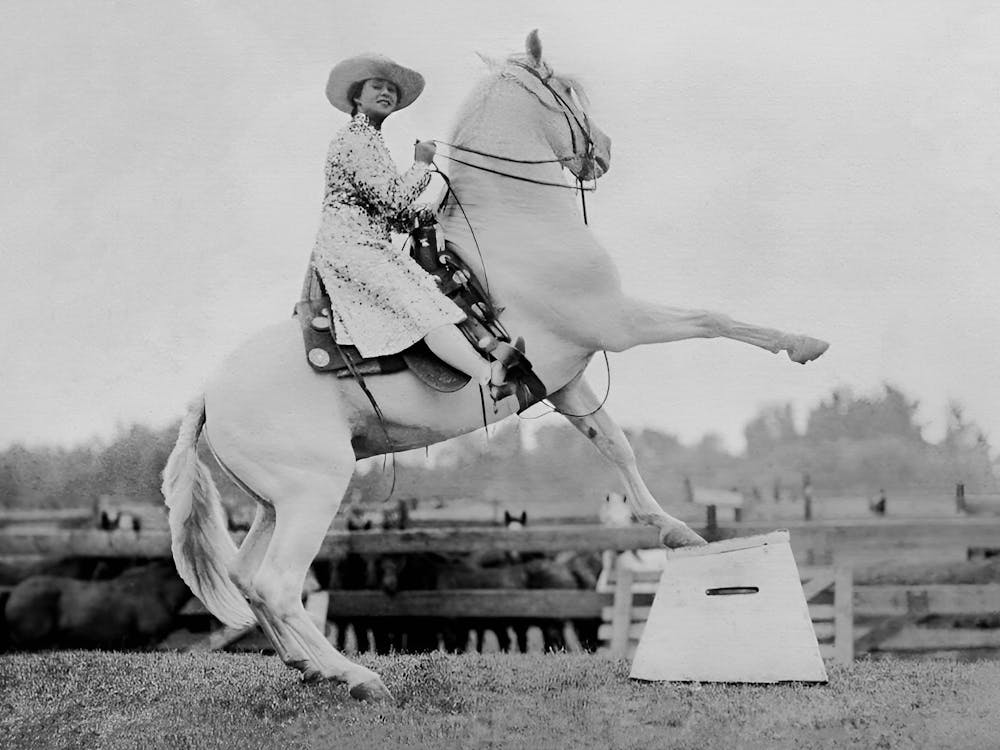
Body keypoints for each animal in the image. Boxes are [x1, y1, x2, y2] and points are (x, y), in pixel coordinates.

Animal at [160, 30, 829, 701]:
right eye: (569, 90)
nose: (605, 150)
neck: (517, 226)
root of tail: (207, 396)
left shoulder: (564, 379)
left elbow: (614, 444)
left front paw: (673, 530)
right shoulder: (619, 323)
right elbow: (712, 318)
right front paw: (803, 343)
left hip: (274, 503)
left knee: (247, 579)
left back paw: (310, 666)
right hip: (312, 493)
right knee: (277, 584)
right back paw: (358, 677)